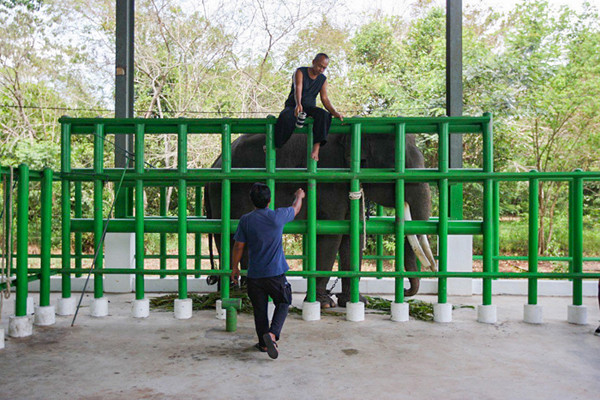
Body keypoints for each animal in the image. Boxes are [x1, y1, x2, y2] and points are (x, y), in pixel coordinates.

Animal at [204, 126, 434, 308]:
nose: (405, 291)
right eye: (398, 168)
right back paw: (237, 294)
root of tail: (214, 165)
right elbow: (331, 235)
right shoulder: (329, 179)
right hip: (226, 196)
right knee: (231, 238)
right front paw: (324, 304)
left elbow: (351, 235)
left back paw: (239, 292)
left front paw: (356, 302)